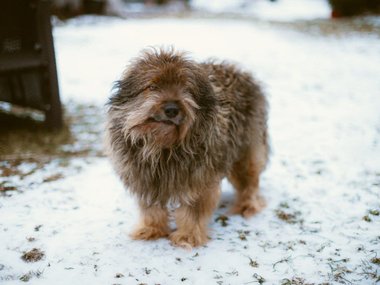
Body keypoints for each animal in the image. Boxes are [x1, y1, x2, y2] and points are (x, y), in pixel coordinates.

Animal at [105, 47, 268, 247]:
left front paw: (187, 236)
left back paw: (248, 205)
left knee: (250, 181)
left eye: (186, 89)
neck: (163, 145)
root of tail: (242, 73)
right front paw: (151, 229)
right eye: (152, 87)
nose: (171, 109)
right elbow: (151, 208)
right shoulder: (145, 178)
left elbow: (193, 210)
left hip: (245, 151)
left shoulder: (199, 179)